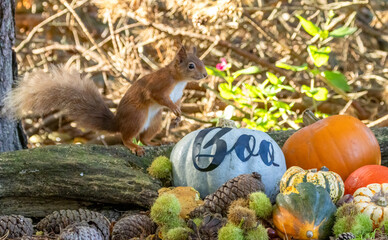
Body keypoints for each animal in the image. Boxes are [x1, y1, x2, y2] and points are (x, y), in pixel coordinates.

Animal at [3, 46, 209, 156]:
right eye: (191, 65)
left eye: (202, 62)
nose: (206, 75)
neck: (179, 81)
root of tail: (118, 122)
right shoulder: (157, 87)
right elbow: (159, 98)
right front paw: (174, 110)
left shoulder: (178, 94)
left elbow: (178, 103)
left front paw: (178, 116)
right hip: (138, 116)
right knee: (126, 137)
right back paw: (134, 146)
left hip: (155, 121)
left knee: (144, 137)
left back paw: (153, 143)